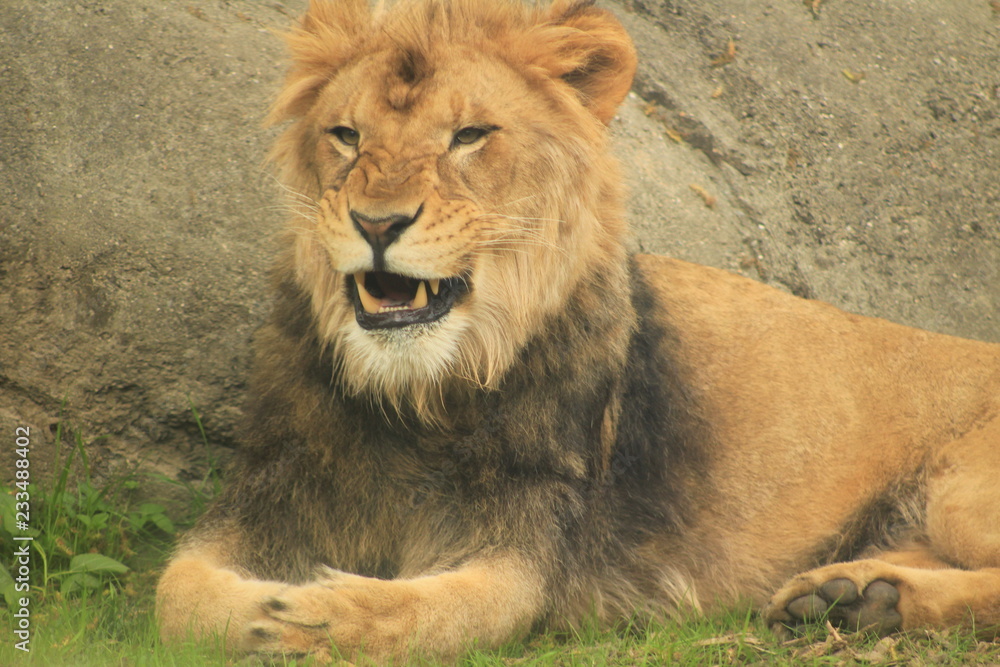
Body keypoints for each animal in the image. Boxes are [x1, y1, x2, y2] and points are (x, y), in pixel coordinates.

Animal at [156, 0, 1000, 662]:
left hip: (961, 488)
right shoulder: (267, 496)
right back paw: (853, 594)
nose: (377, 223)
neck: (415, 396)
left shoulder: (529, 546)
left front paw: (315, 620)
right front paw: (264, 615)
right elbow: (178, 593)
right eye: (345, 135)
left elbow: (444, 612)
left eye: (469, 134)